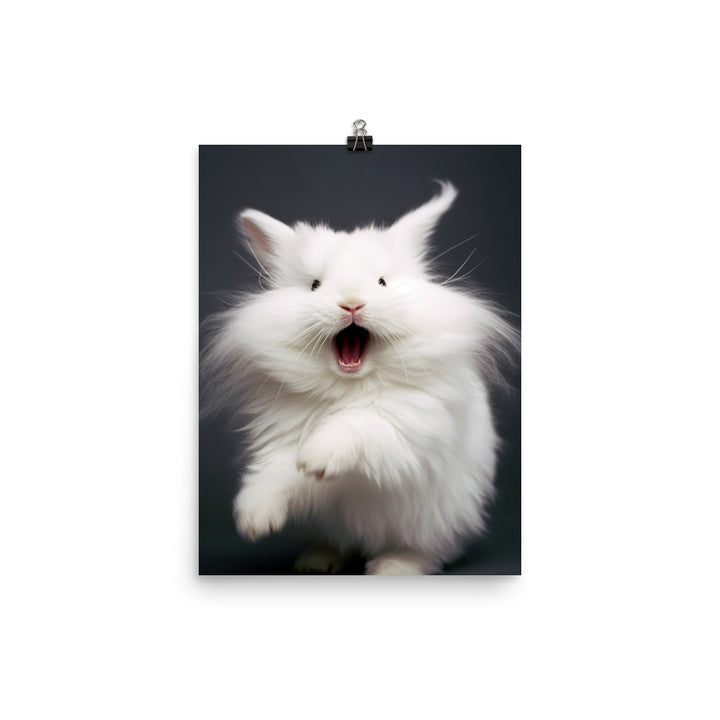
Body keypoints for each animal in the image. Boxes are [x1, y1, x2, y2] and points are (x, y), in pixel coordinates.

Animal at [202, 181, 518, 574]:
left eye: (382, 282)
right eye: (314, 285)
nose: (352, 303)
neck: (350, 386)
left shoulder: (407, 429)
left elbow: (359, 425)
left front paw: (316, 459)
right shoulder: (281, 437)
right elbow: (275, 472)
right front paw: (254, 520)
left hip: (434, 523)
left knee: (427, 551)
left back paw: (392, 567)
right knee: (338, 542)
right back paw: (316, 562)